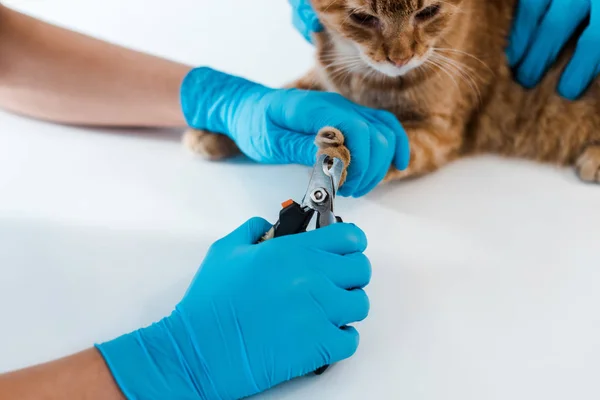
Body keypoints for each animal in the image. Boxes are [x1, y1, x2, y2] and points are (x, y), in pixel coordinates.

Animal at [185, 0, 600, 184]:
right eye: (362, 17)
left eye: (429, 12)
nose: (400, 57)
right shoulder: (322, 78)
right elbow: (276, 96)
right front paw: (216, 126)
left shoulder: (439, 132)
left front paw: (345, 161)